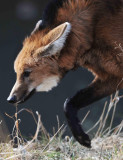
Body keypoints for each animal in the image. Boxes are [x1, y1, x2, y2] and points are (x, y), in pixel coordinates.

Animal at [7, 0, 123, 148]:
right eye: (17, 73)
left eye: (26, 73)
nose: (10, 99)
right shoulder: (113, 76)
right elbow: (68, 103)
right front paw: (82, 138)